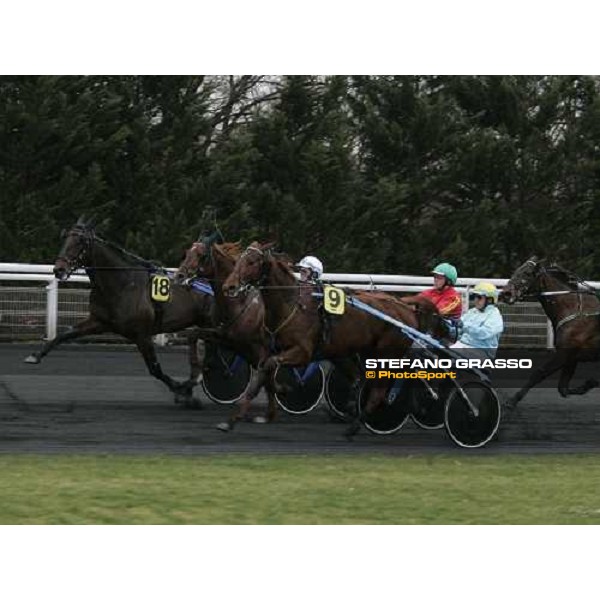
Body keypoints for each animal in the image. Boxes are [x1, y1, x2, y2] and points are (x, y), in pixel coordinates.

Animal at [26, 216, 218, 404]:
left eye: (80, 241)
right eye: (65, 237)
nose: (59, 269)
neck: (122, 284)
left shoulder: (142, 334)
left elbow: (154, 368)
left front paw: (182, 390)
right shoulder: (99, 321)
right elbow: (65, 333)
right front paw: (35, 355)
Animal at [173, 236, 278, 426]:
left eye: (202, 255)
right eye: (187, 252)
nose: (179, 275)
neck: (239, 303)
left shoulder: (256, 347)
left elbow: (266, 375)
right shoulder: (224, 336)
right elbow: (193, 336)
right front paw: (193, 378)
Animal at [220, 241, 440, 438]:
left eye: (252, 261)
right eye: (239, 260)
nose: (229, 286)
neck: (292, 304)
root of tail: (406, 308)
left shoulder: (302, 353)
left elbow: (270, 367)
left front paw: (281, 391)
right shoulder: (269, 350)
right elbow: (262, 376)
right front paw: (233, 420)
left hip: (385, 355)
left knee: (380, 391)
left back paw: (356, 426)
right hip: (362, 353)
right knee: (366, 379)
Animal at [500, 255, 600, 410]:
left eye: (527, 274)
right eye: (516, 271)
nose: (506, 293)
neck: (575, 310)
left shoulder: (564, 354)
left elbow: (539, 373)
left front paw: (512, 400)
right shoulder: (572, 357)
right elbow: (563, 389)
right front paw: (589, 384)